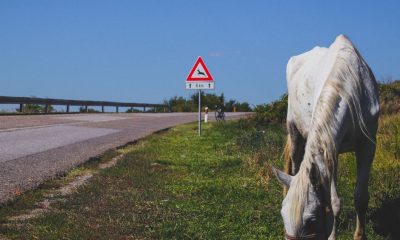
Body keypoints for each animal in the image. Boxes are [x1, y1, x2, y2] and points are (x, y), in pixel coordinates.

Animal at [274, 34, 380, 240]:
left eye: (311, 220)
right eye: (282, 215)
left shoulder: (367, 146)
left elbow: (360, 197)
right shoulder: (330, 149)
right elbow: (333, 203)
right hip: (294, 133)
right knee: (294, 165)